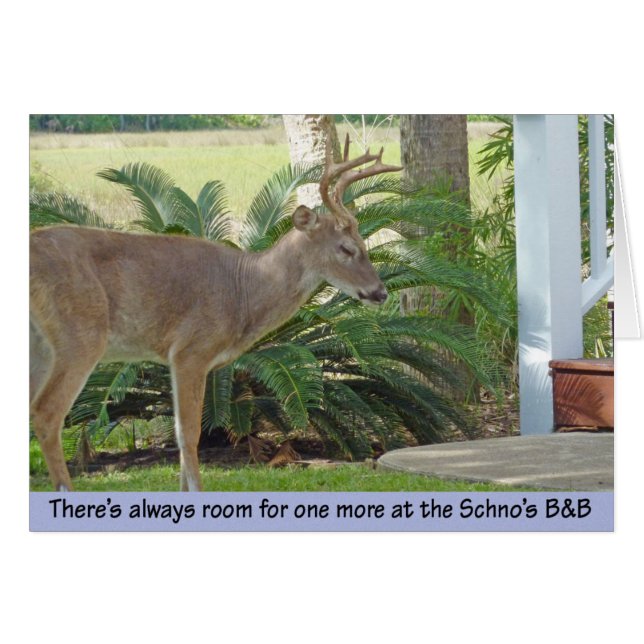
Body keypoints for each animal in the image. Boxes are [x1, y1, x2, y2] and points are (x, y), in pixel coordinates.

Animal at [29, 135, 402, 491]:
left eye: (365, 245)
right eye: (346, 249)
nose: (381, 293)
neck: (243, 291)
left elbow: (183, 433)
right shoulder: (191, 348)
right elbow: (188, 433)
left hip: (42, 344)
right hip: (80, 332)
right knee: (47, 413)